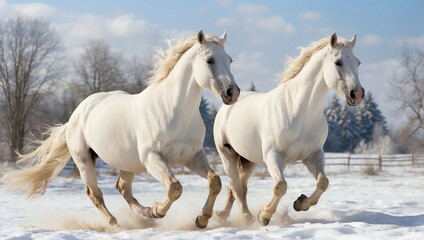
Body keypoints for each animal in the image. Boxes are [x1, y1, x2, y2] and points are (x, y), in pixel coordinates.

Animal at [3, 30, 240, 229]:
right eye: (209, 60)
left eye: (229, 60)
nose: (233, 93)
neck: (175, 111)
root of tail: (75, 116)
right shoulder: (153, 159)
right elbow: (175, 188)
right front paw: (159, 211)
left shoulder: (192, 157)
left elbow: (215, 181)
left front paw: (201, 219)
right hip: (84, 160)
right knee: (96, 193)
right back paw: (116, 223)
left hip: (128, 164)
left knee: (123, 189)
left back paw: (145, 214)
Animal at [215, 33, 364, 225]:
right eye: (338, 62)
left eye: (357, 62)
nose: (357, 94)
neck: (298, 111)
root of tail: (228, 104)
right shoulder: (273, 155)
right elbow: (281, 186)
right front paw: (264, 216)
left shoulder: (313, 154)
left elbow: (323, 182)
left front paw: (300, 203)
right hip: (227, 155)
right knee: (236, 187)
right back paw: (243, 218)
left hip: (249, 160)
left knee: (237, 187)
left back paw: (224, 216)